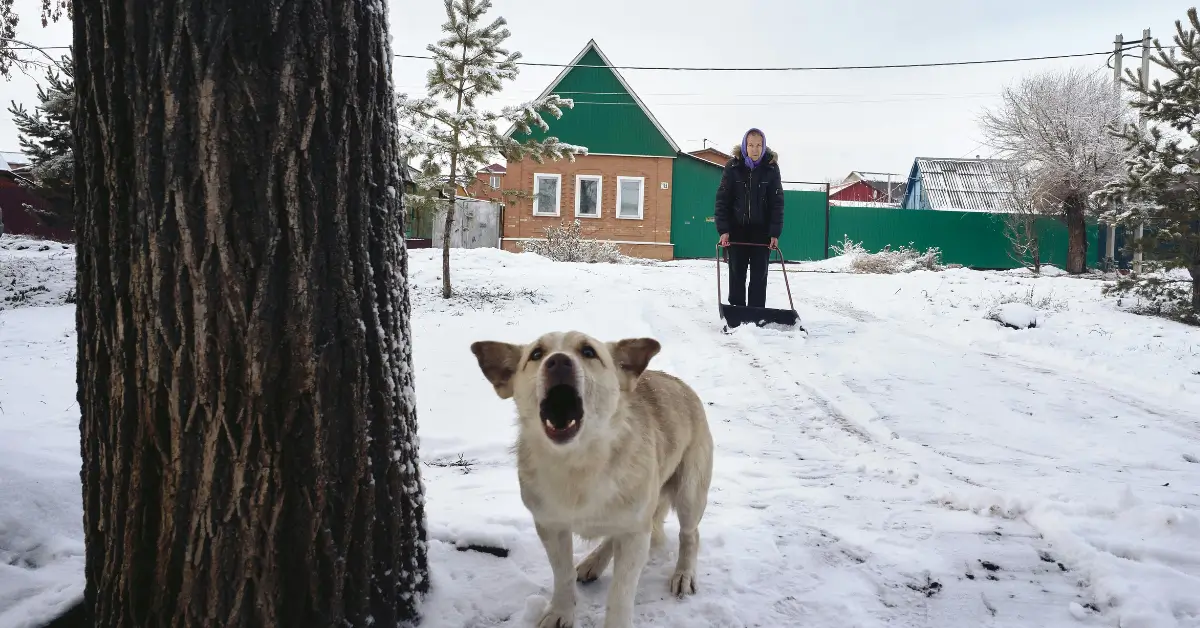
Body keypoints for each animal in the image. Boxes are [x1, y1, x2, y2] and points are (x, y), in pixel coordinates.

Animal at [468, 331, 710, 624]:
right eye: (536, 354)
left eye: (588, 351)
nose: (558, 361)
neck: (578, 464)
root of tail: (681, 384)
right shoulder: (551, 526)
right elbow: (562, 576)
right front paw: (560, 612)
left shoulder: (635, 534)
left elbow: (620, 594)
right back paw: (593, 562)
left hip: (689, 494)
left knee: (690, 535)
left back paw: (684, 573)